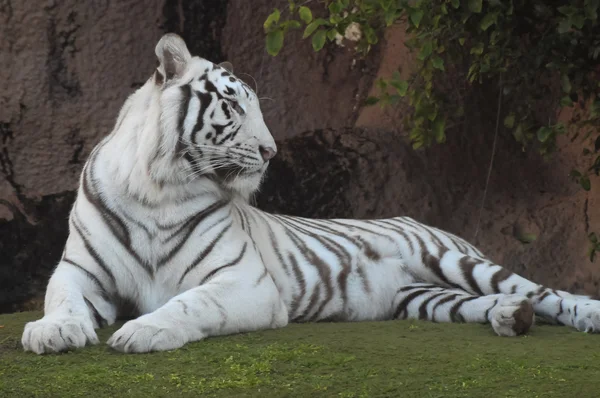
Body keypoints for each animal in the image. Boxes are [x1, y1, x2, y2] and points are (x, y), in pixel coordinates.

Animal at [21, 32, 600, 352]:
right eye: (234, 106)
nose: (272, 151)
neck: (158, 187)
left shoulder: (243, 282)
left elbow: (191, 303)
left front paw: (143, 332)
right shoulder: (81, 271)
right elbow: (61, 299)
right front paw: (51, 333)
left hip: (452, 259)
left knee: (545, 291)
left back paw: (581, 314)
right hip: (424, 297)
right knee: (498, 302)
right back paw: (510, 317)